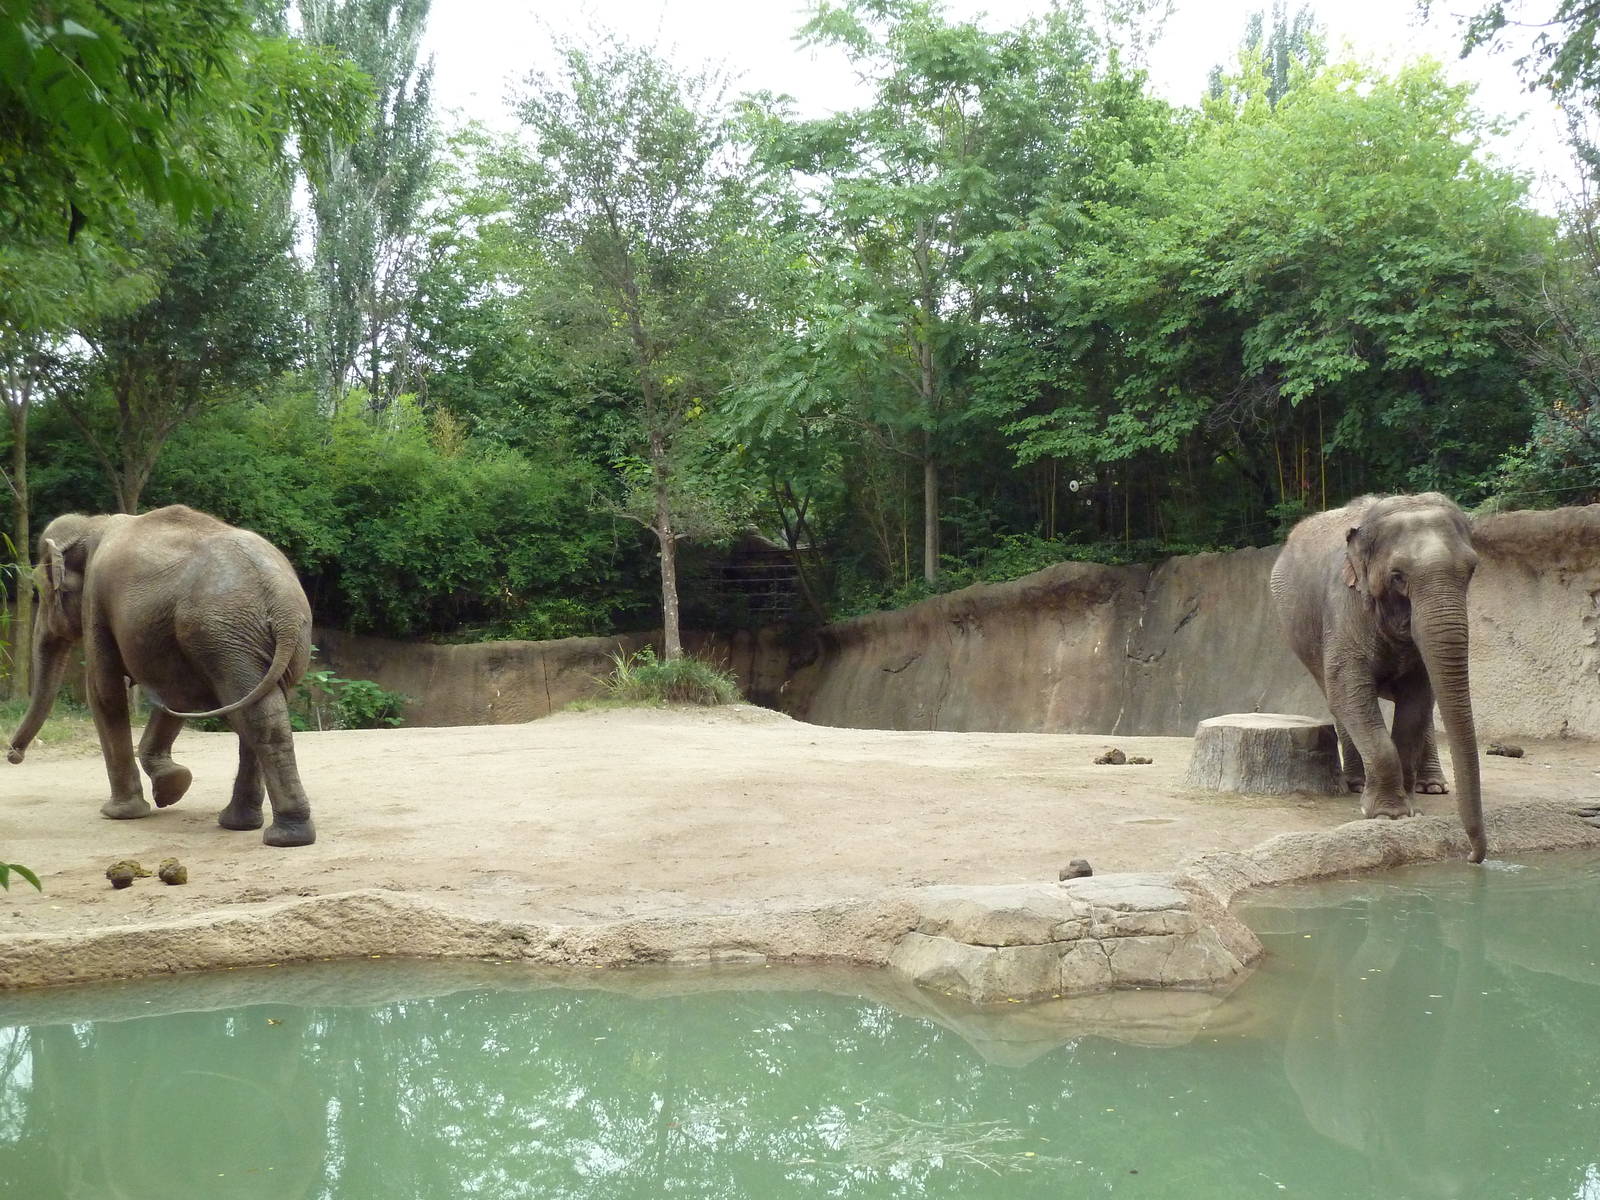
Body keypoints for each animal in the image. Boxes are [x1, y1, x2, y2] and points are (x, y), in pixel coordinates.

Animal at [6, 505, 316, 847]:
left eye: (42, 591)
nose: (13, 755)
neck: (92, 524)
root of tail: (282, 606)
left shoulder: (96, 600)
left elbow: (103, 691)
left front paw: (120, 813)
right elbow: (175, 694)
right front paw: (173, 786)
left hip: (223, 634)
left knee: (251, 713)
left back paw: (281, 835)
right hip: (256, 640)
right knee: (260, 710)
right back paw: (248, 825)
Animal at [1270, 493, 1485, 863]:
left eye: (1471, 570)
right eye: (1397, 576)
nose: (1472, 857)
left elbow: (1419, 696)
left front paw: (1408, 807)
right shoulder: (1344, 606)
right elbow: (1348, 691)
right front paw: (1389, 815)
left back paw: (1431, 787)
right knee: (1334, 698)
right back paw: (1355, 783)